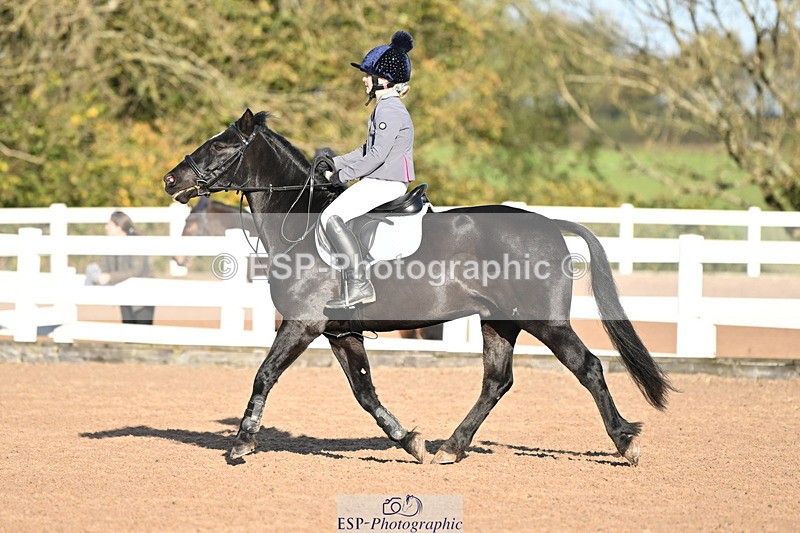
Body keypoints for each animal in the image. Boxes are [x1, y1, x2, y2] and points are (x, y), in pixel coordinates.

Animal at [163, 109, 672, 465]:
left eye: (221, 146)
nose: (171, 179)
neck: (300, 223)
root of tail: (548, 222)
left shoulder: (302, 324)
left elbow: (264, 374)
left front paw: (241, 443)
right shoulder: (341, 333)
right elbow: (365, 393)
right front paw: (410, 441)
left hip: (544, 321)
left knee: (587, 367)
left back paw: (625, 443)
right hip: (499, 323)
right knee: (496, 381)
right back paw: (451, 447)